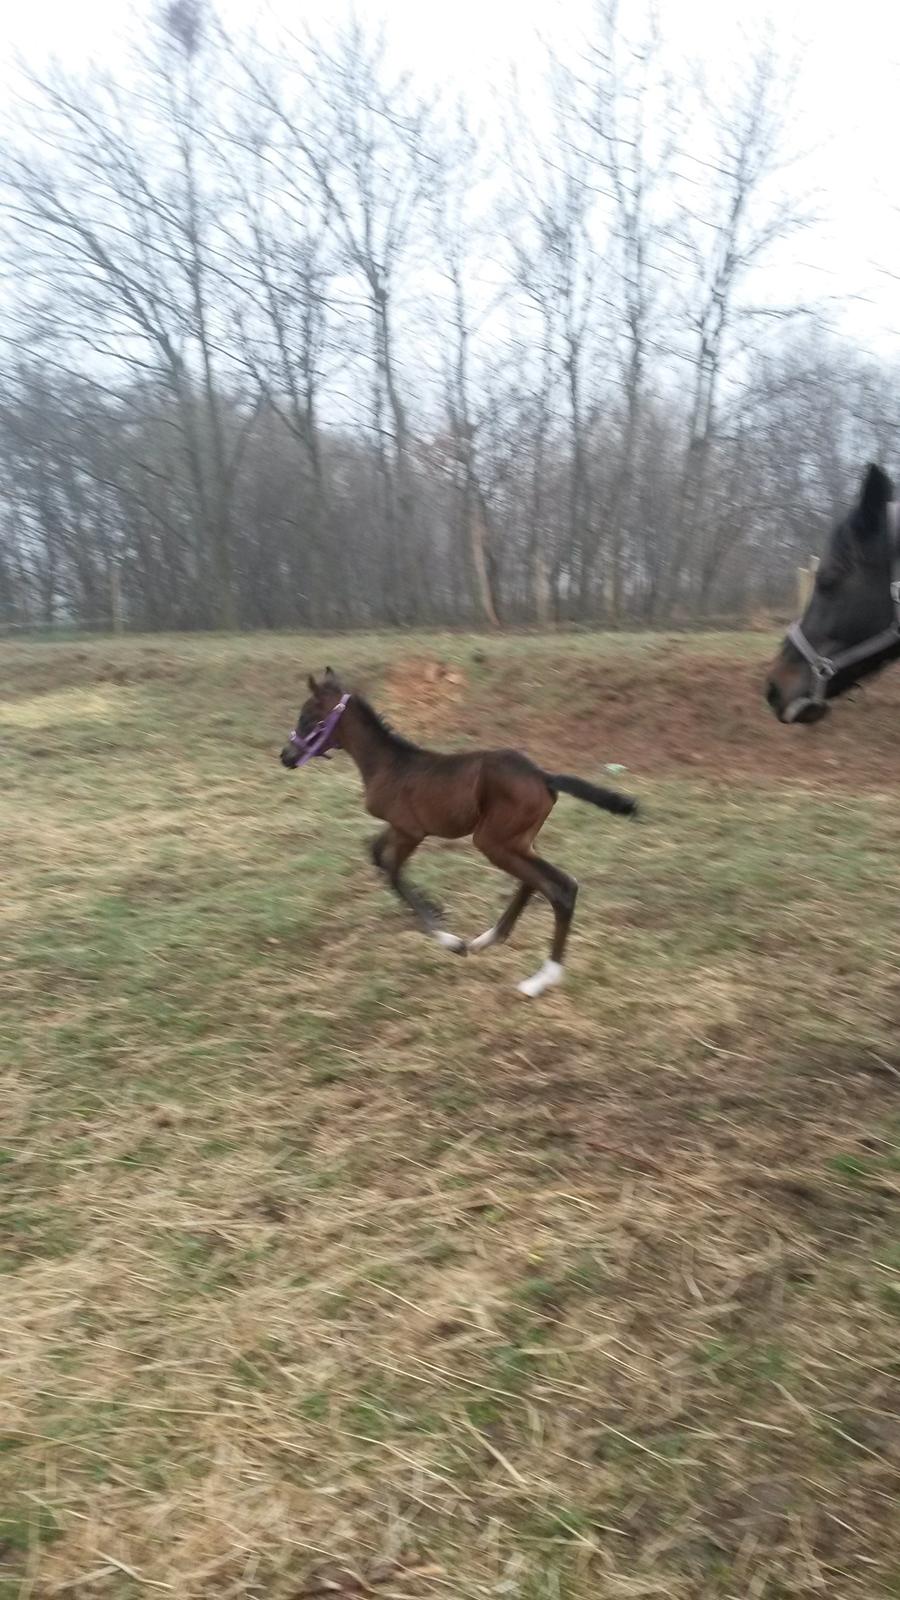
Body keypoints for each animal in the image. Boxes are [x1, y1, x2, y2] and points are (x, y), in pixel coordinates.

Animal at [277, 668, 634, 992]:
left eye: (308, 717)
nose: (286, 756)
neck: (389, 765)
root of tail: (544, 776)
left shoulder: (410, 831)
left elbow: (391, 869)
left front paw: (447, 939)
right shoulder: (400, 827)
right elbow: (376, 855)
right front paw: (436, 907)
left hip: (492, 842)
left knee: (559, 888)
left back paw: (541, 978)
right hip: (517, 840)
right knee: (536, 882)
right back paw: (487, 940)